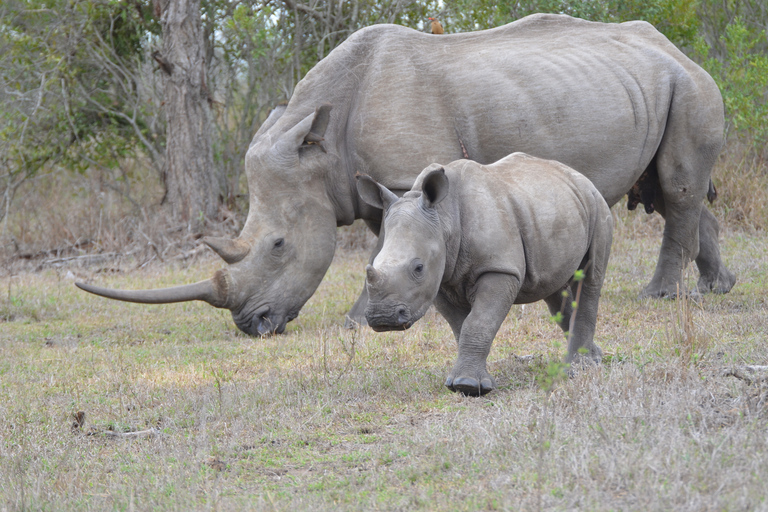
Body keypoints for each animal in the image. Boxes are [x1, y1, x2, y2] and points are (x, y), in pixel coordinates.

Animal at [356, 152, 616, 396]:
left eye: (418, 268)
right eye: (374, 264)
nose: (382, 317)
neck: (444, 217)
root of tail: (578, 175)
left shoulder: (499, 268)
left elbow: (479, 321)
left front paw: (468, 386)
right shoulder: (439, 279)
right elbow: (461, 326)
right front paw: (462, 382)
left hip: (597, 206)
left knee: (591, 279)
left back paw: (580, 368)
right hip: (556, 209)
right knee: (554, 289)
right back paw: (593, 358)